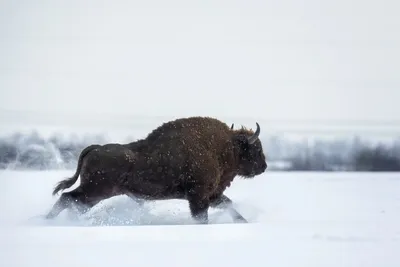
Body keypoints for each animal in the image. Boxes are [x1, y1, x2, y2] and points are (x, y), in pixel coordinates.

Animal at [45, 116, 268, 224]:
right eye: (256, 149)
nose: (264, 166)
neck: (224, 148)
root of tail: (95, 148)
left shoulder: (212, 196)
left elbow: (229, 205)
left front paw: (244, 221)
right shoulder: (199, 197)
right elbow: (202, 216)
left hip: (93, 194)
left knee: (72, 202)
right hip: (95, 191)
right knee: (67, 198)